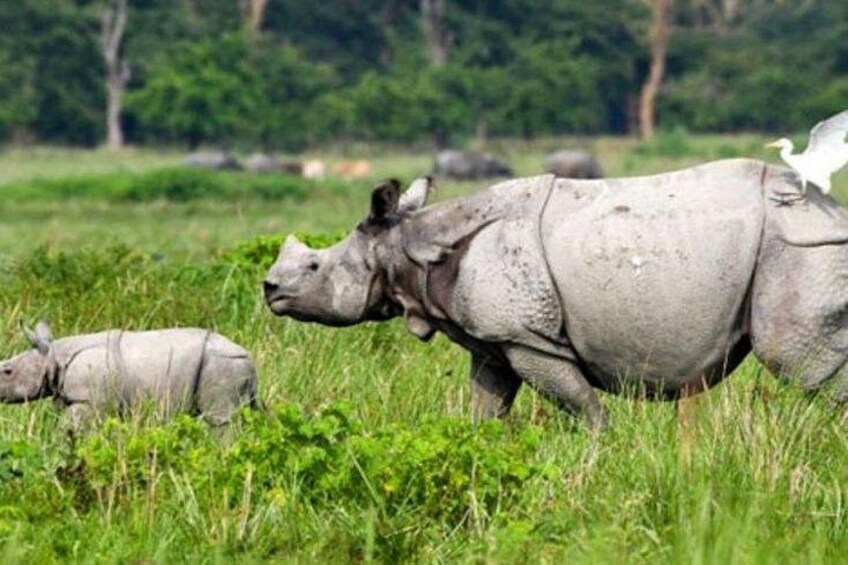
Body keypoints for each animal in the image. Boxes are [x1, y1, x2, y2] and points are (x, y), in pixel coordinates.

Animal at [0, 322, 257, 427]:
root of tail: (249, 357)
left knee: (220, 420)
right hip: (230, 365)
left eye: (7, 371)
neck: (53, 356)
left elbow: (70, 429)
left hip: (222, 364)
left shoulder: (88, 400)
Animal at [263, 159, 848, 430]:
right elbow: (486, 408)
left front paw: (602, 456)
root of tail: (836, 212)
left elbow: (585, 408)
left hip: (797, 244)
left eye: (314, 266)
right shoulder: (494, 341)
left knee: (800, 360)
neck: (409, 244)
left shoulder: (530, 339)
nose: (270, 289)